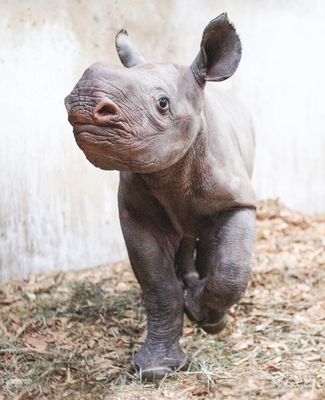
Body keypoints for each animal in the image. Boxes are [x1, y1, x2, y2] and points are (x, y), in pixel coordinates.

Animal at [64, 13, 254, 382]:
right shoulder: (136, 214)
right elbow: (157, 285)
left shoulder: (238, 201)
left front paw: (201, 313)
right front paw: (156, 369)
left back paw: (202, 304)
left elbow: (231, 269)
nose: (82, 103)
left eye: (162, 104)